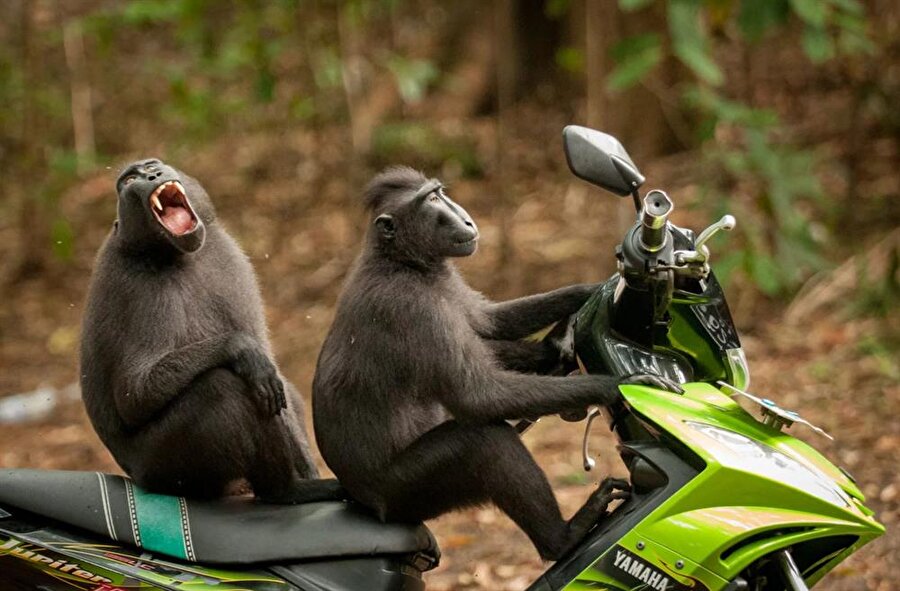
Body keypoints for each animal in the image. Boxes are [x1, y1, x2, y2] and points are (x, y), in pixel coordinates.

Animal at [80, 159, 340, 503]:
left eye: (152, 165)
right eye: (130, 180)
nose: (153, 175)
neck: (176, 256)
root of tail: (136, 477)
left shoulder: (228, 258)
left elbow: (274, 375)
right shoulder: (134, 289)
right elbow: (133, 396)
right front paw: (240, 349)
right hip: (165, 470)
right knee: (223, 388)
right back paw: (286, 491)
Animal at [312, 167, 676, 560]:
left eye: (439, 193)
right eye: (432, 200)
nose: (467, 219)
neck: (401, 262)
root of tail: (363, 500)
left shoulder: (447, 285)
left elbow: (490, 322)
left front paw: (589, 298)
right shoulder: (413, 309)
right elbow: (479, 397)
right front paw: (624, 383)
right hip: (406, 493)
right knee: (484, 441)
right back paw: (562, 538)